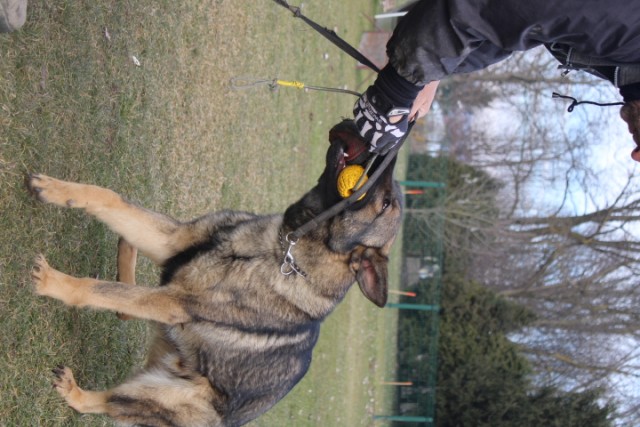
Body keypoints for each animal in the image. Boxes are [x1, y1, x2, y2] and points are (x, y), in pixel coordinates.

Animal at [30, 118, 402, 426]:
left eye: (385, 204)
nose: (389, 146)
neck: (282, 248)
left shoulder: (173, 302)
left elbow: (99, 290)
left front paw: (54, 282)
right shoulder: (173, 242)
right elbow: (108, 198)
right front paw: (59, 190)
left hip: (163, 392)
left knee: (103, 398)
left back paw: (75, 391)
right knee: (125, 306)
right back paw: (126, 250)